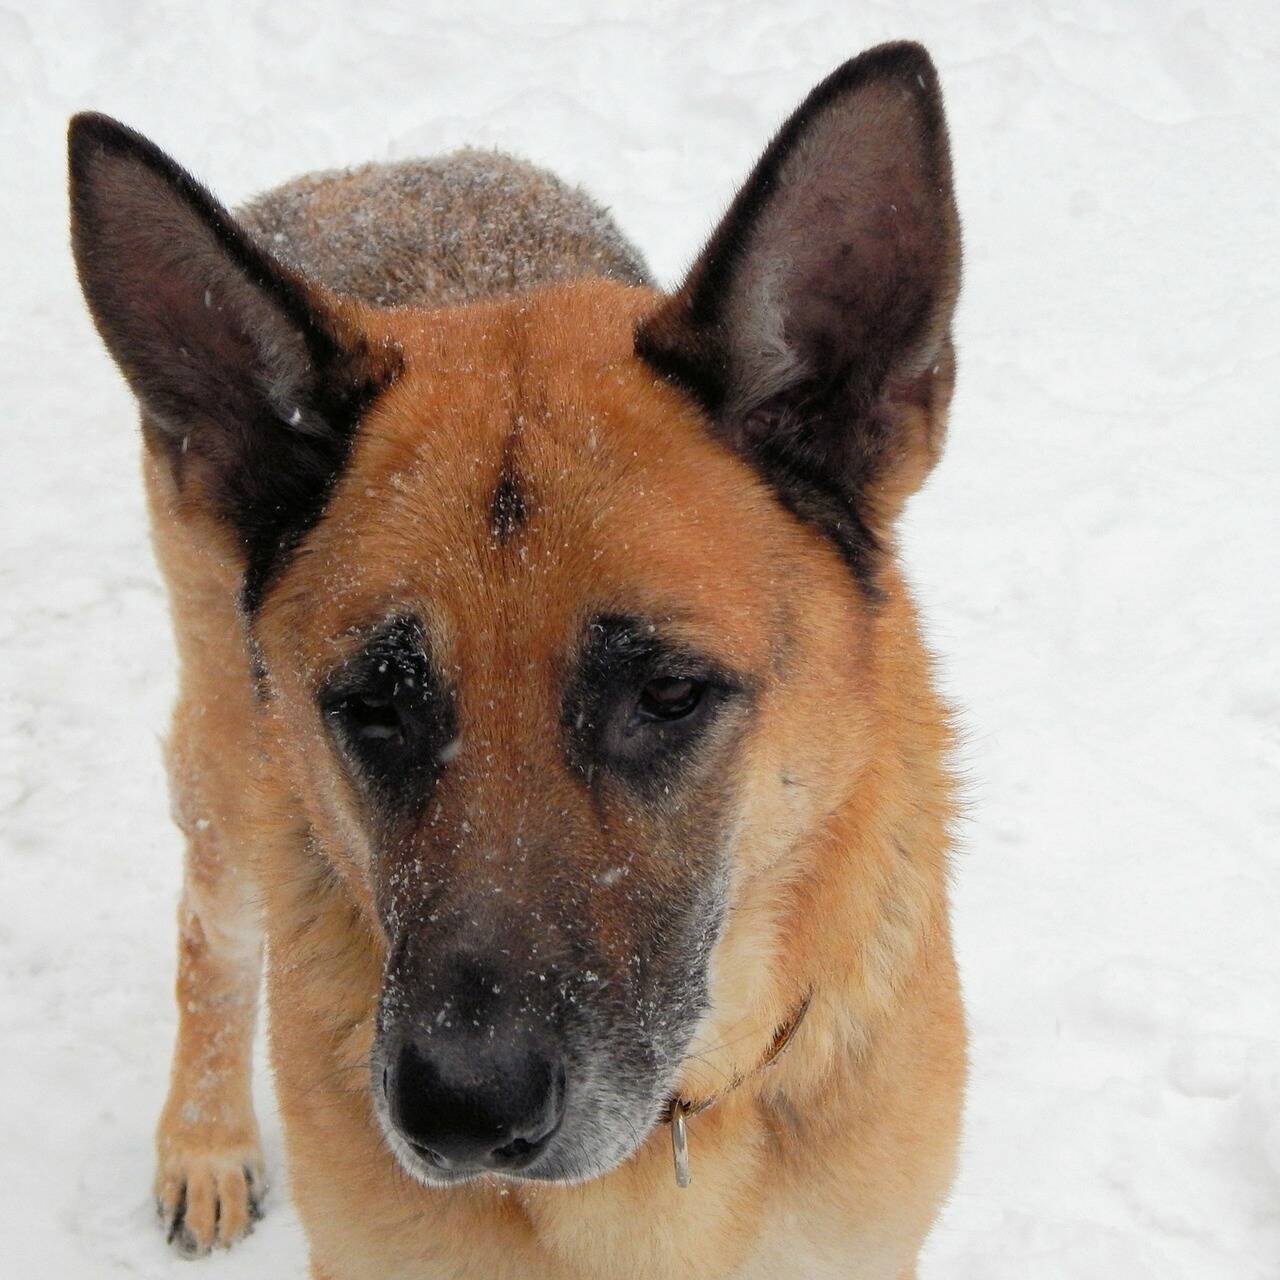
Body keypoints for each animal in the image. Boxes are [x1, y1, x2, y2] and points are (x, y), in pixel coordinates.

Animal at [70, 40, 962, 1280]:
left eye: (665, 692)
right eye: (373, 705)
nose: (461, 1113)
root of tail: (389, 171)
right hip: (228, 763)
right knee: (212, 937)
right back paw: (203, 1141)